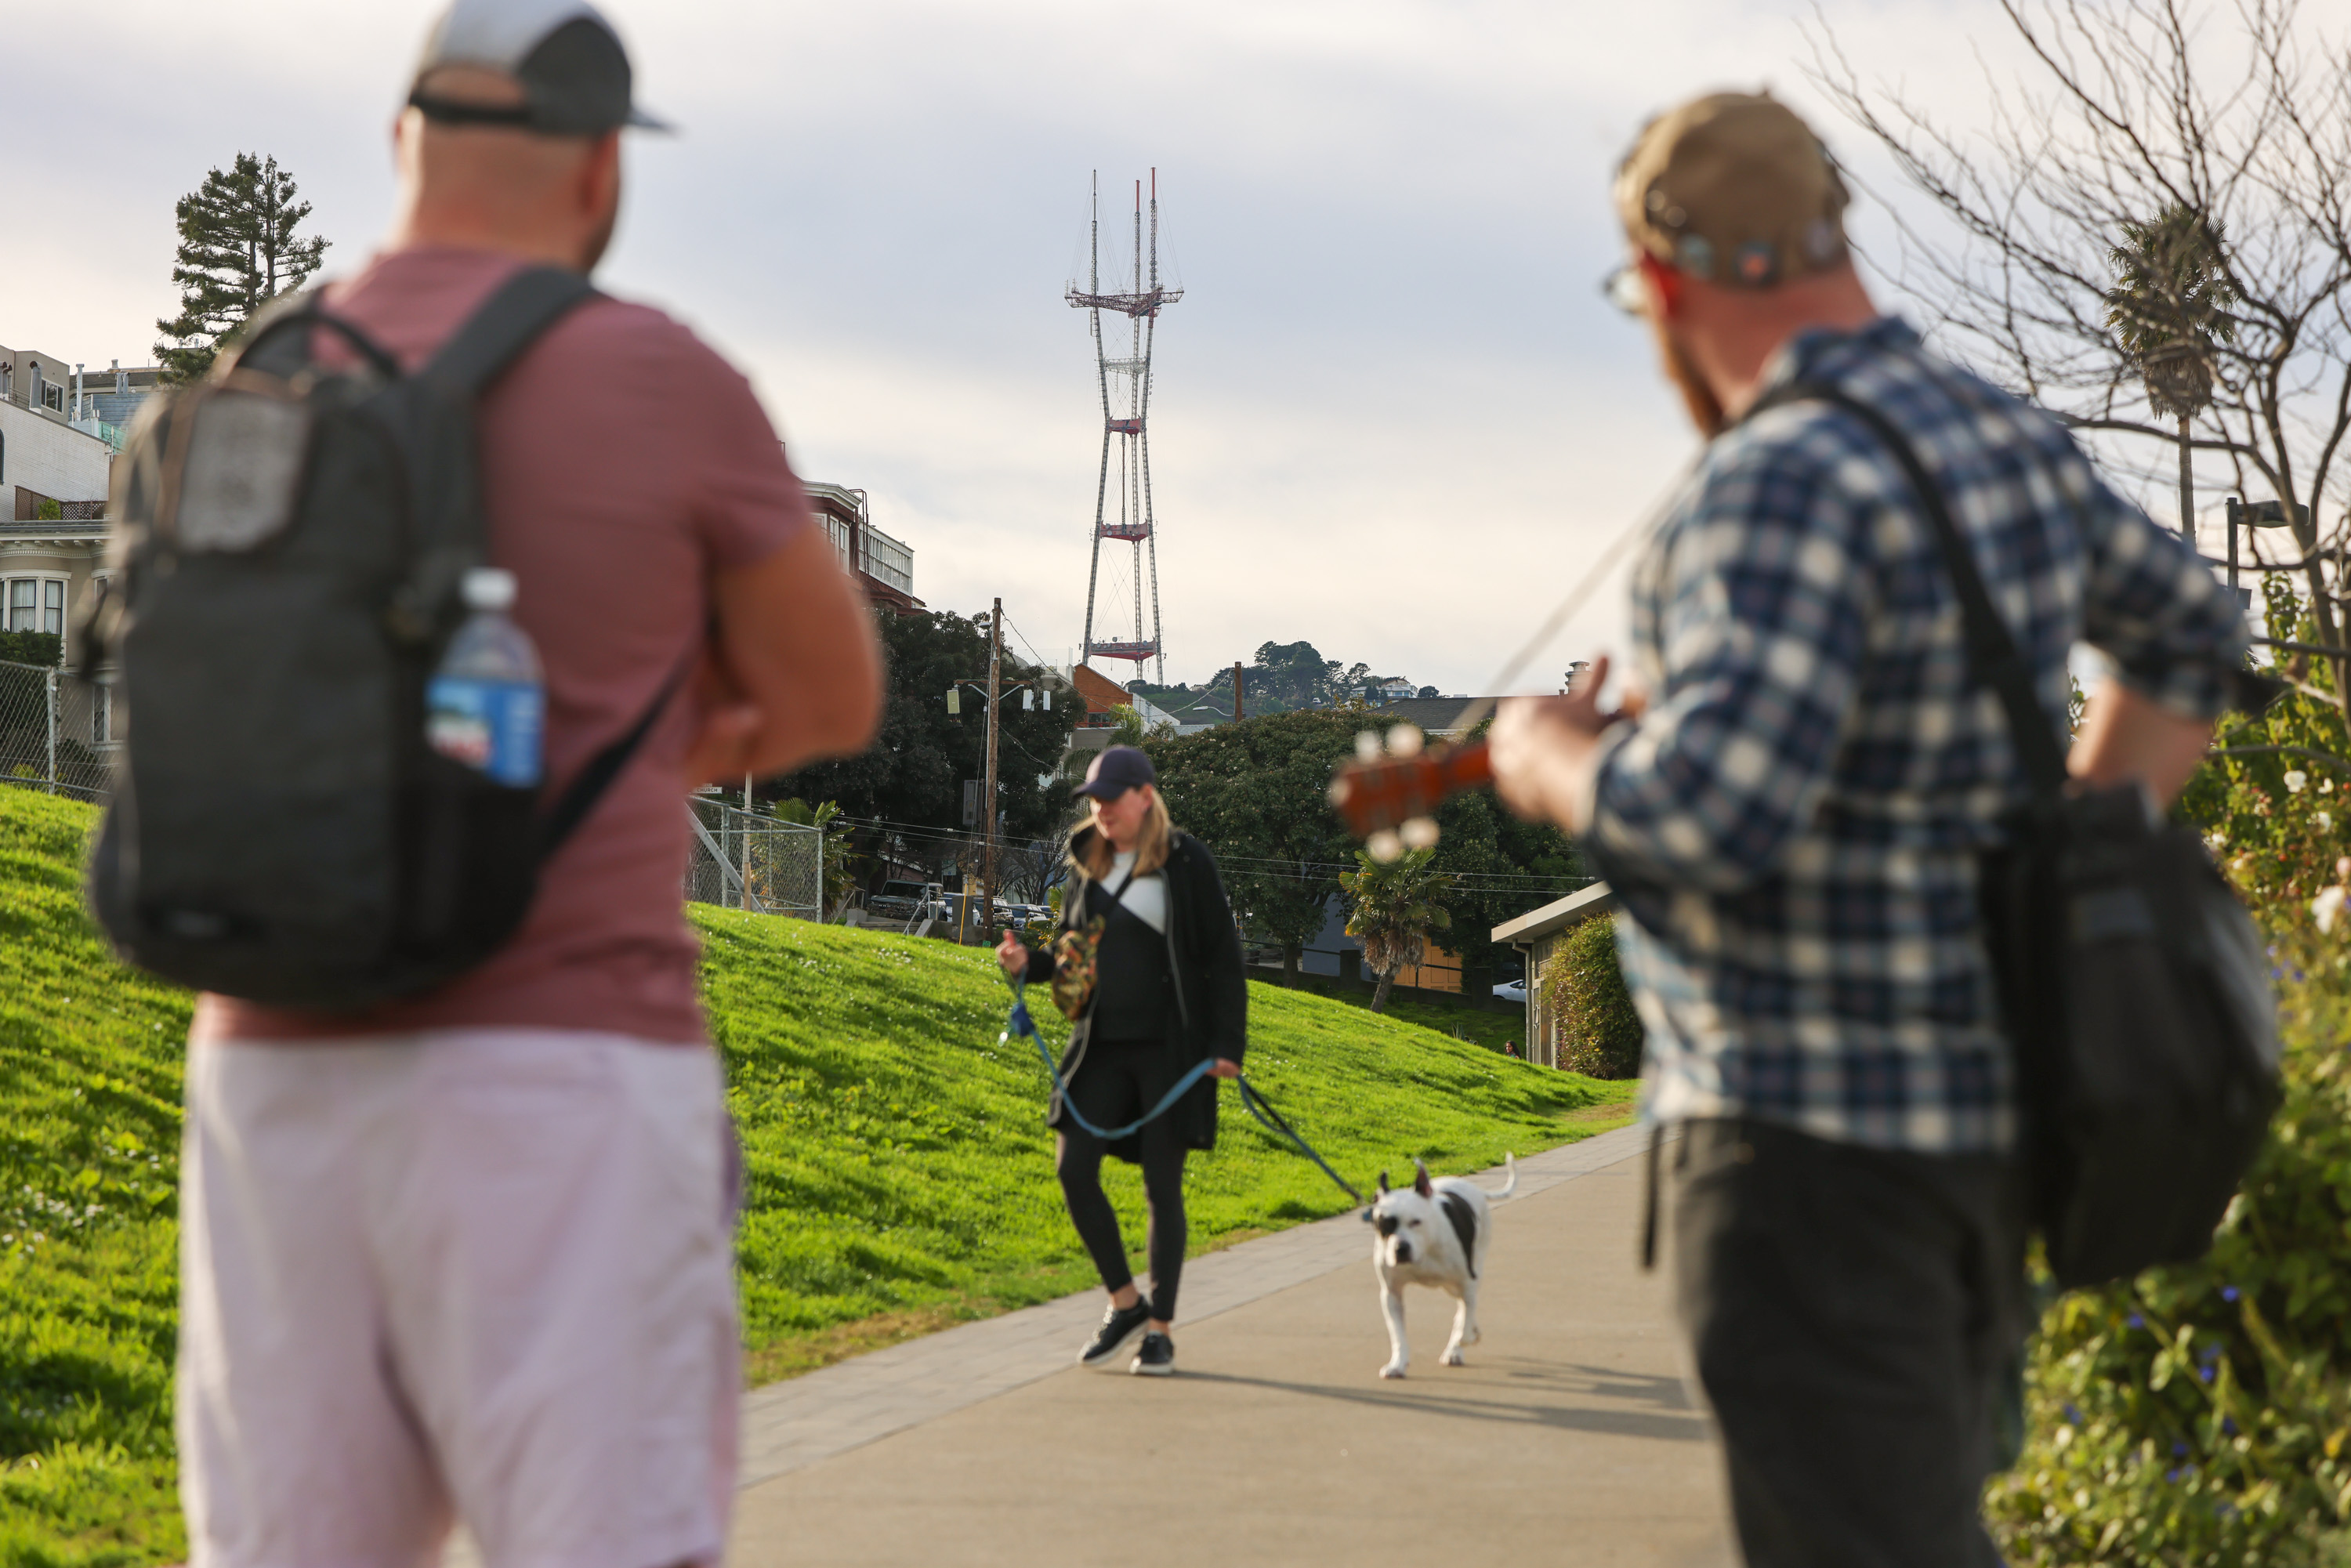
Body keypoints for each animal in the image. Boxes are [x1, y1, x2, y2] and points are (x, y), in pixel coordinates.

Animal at [1373, 1161, 1514, 1382]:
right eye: (1385, 1224)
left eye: (1416, 1221)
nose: (1401, 1249)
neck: (1426, 1248)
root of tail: (1473, 1187)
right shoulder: (1391, 1294)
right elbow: (1398, 1334)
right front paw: (1397, 1364)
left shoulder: (1467, 1281)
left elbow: (1465, 1318)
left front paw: (1463, 1339)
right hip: (1450, 1286)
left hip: (1473, 1266)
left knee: (1465, 1307)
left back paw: (1457, 1347)